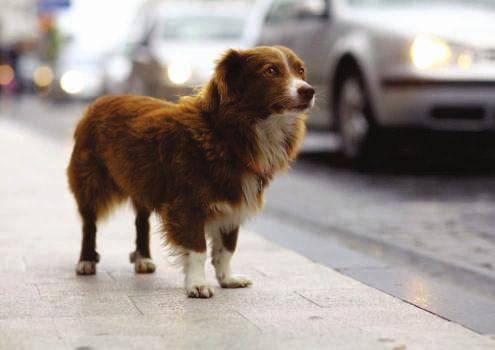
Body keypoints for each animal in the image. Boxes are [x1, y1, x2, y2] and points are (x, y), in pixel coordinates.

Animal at [67, 45, 314, 298]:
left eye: (300, 70)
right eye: (271, 70)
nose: (309, 91)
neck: (227, 135)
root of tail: (100, 101)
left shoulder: (233, 205)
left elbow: (226, 249)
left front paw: (227, 279)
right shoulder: (187, 206)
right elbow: (198, 250)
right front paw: (197, 284)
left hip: (141, 182)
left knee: (141, 222)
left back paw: (143, 259)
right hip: (90, 182)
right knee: (89, 224)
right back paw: (86, 261)